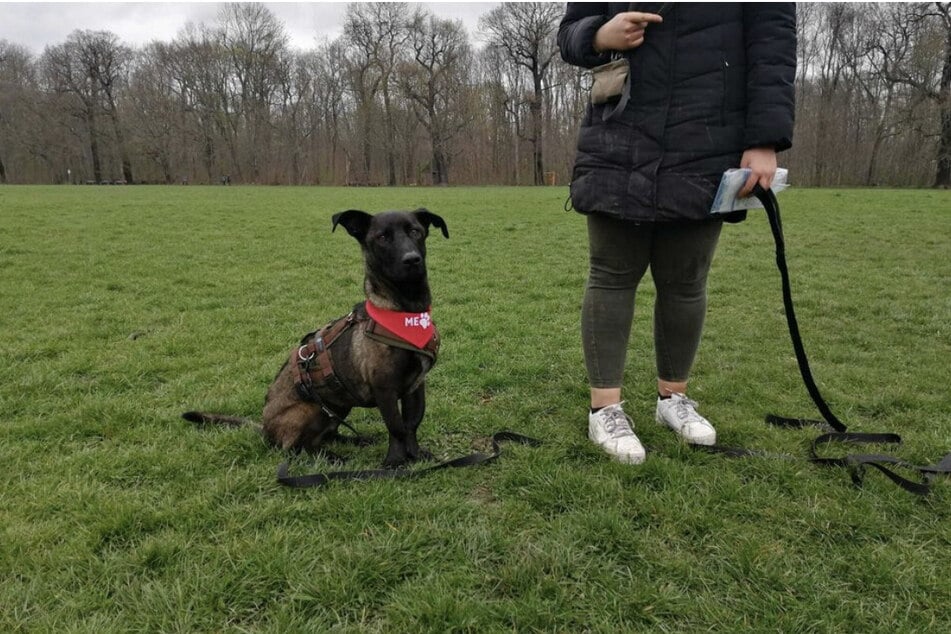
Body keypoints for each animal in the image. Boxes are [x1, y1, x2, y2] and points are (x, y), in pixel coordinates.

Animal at [190, 207, 454, 464]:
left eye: (415, 231)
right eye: (381, 237)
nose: (412, 259)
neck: (404, 312)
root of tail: (265, 430)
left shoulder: (415, 386)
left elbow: (411, 425)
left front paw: (416, 456)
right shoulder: (385, 389)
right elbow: (397, 428)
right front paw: (396, 463)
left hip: (337, 406)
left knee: (327, 434)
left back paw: (354, 441)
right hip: (310, 410)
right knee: (294, 448)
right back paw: (330, 457)